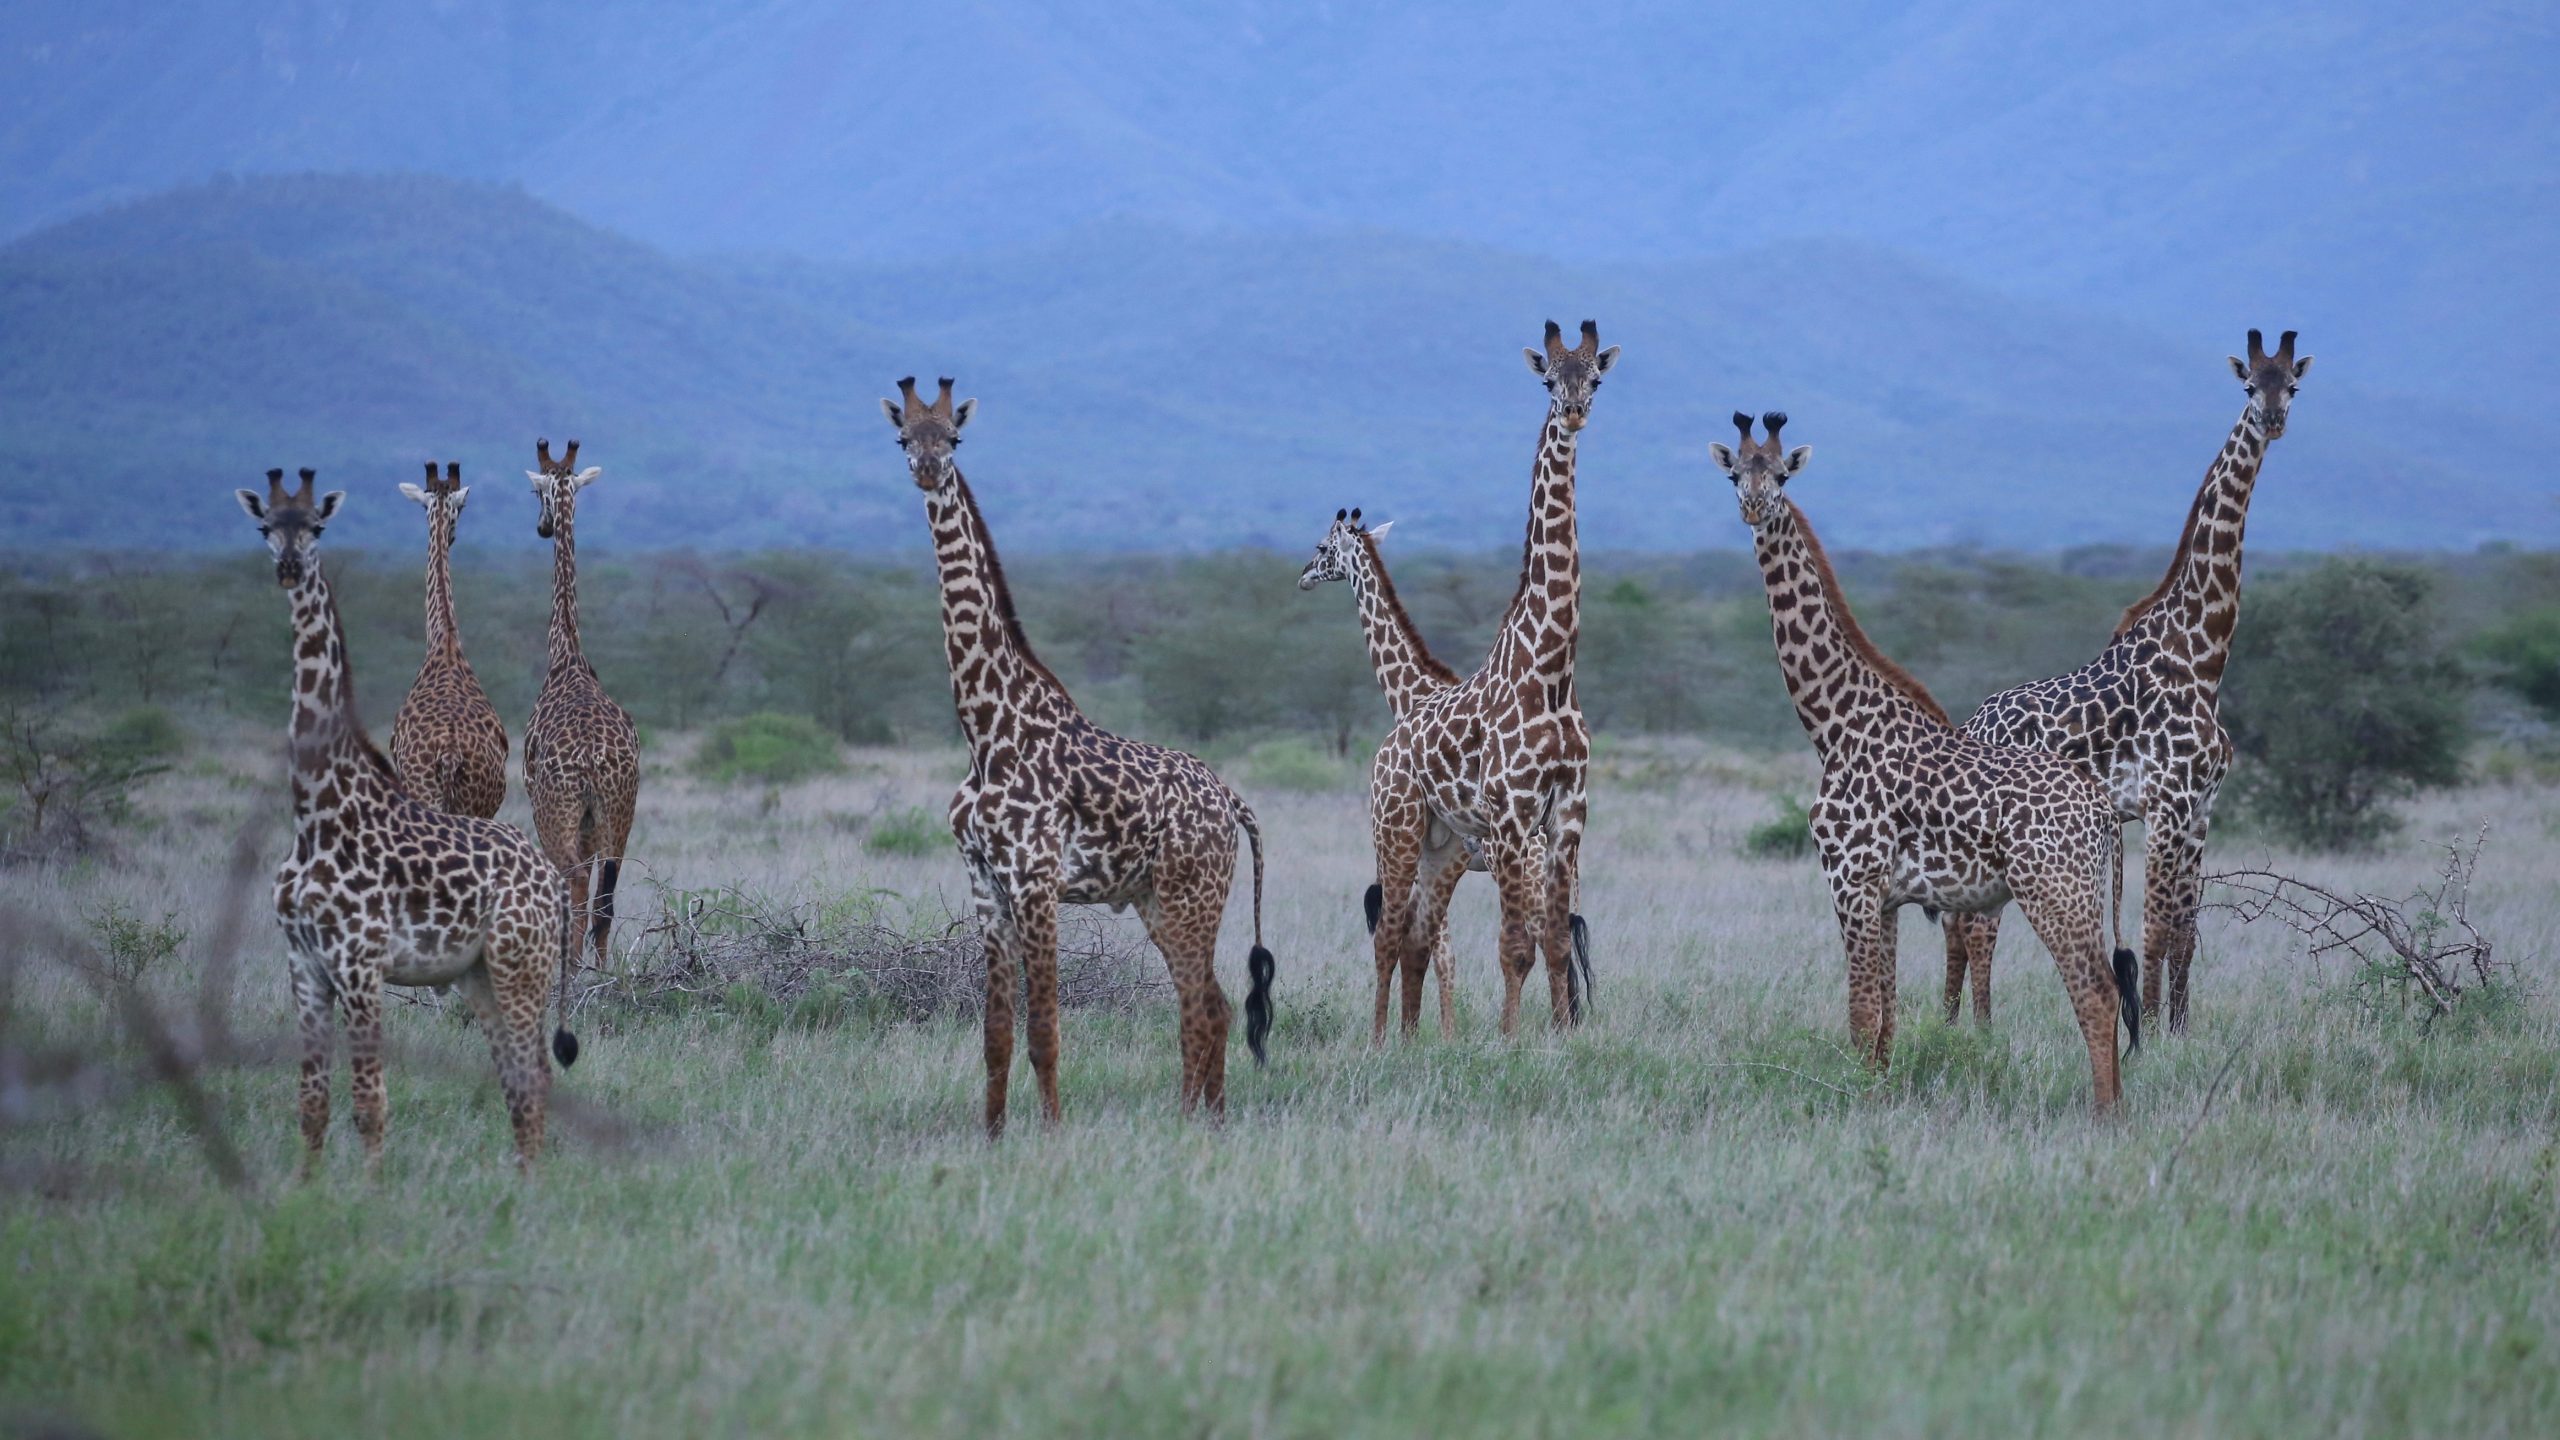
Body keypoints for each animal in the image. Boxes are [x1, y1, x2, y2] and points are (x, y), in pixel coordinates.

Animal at [879, 376, 1276, 1135]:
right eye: (902, 437)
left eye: (955, 437)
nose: (928, 470)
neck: (986, 730)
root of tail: (1229, 799)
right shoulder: (986, 884)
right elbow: (996, 1033)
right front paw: (993, 1135)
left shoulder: (1035, 880)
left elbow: (1045, 1028)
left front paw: (1052, 1133)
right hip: (1155, 900)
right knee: (1206, 1003)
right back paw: (1198, 1116)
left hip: (1191, 894)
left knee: (1205, 1005)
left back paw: (1201, 1121)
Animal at [1366, 321, 1608, 1042]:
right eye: (1548, 378)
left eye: (1596, 377)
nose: (1574, 411)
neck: (1551, 670)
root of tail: (1387, 749)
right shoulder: (1511, 816)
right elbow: (1514, 946)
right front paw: (1507, 1041)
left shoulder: (1568, 813)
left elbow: (1552, 940)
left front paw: (1559, 1038)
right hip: (1399, 829)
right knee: (1390, 935)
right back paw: (1378, 1042)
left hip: (1441, 842)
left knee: (1416, 936)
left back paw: (1407, 1039)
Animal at [1711, 413, 2141, 1112]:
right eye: (1733, 475)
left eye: (1780, 475)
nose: (1754, 506)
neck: (1835, 726)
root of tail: (2103, 810)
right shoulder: (1885, 898)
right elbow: (1886, 1019)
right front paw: (1878, 1097)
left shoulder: (1851, 881)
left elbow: (1861, 1017)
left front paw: (1854, 1105)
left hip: (2056, 890)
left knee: (2097, 995)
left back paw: (2105, 1118)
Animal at [1943, 330, 2312, 1032]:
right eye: (2249, 384)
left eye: (2294, 386)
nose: (2273, 420)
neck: (2203, 656)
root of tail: (1971, 723)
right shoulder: (2166, 805)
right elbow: (2158, 928)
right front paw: (2160, 1036)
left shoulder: (2201, 810)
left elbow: (2188, 930)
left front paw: (2182, 1030)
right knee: (1977, 927)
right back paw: (1980, 1031)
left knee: (1961, 922)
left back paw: (1956, 1023)